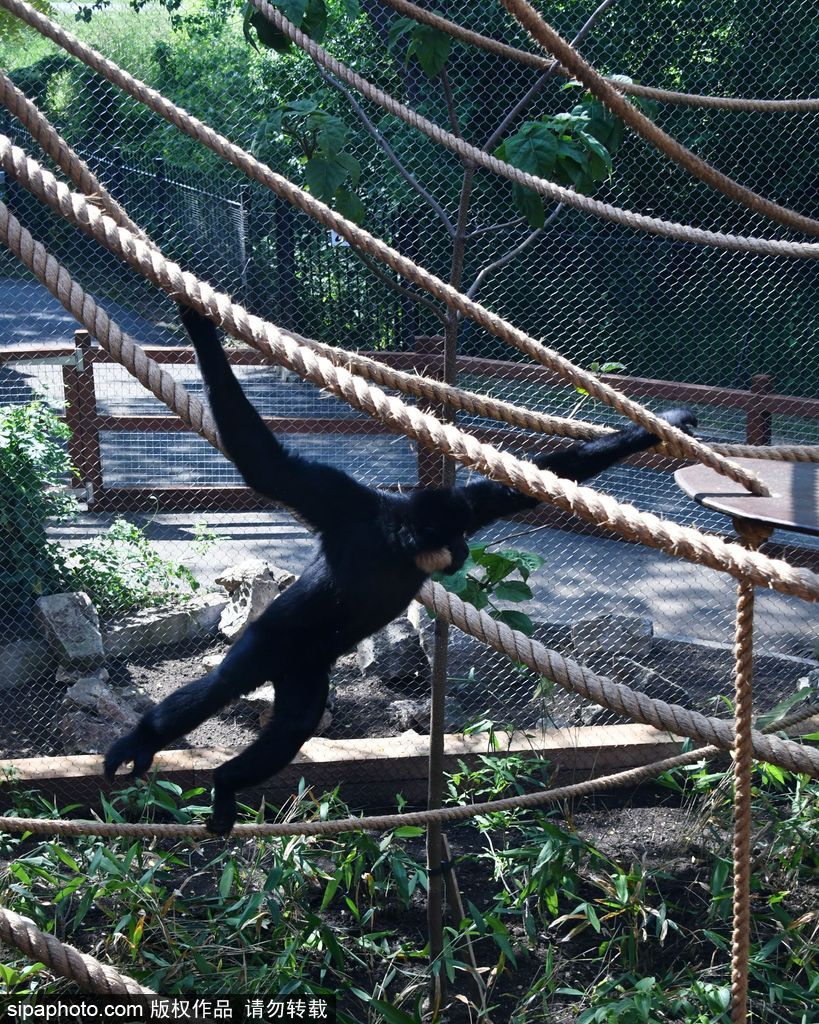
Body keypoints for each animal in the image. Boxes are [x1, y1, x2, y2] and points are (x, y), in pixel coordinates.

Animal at [105, 304, 697, 834]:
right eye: (454, 541)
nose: (462, 550)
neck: (396, 540)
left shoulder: (451, 504)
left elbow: (526, 484)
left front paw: (666, 425)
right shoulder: (345, 502)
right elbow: (265, 463)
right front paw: (197, 323)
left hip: (306, 669)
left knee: (295, 722)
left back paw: (227, 784)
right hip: (272, 638)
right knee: (224, 684)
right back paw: (148, 743)